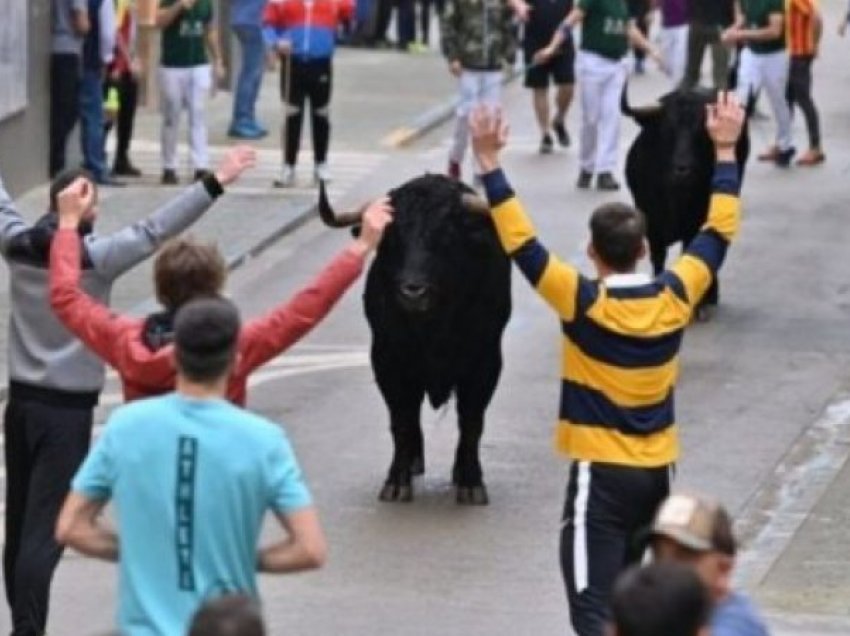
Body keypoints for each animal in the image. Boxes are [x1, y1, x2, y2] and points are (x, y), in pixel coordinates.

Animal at [314, 176, 506, 504]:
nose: (412, 291)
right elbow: (401, 420)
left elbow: (471, 421)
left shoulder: (485, 363)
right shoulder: (388, 362)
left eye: (446, 235)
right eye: (391, 237)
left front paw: (471, 482)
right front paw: (396, 482)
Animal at [616, 87, 748, 318]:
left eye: (702, 131)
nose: (683, 169)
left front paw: (700, 302)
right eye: (668, 129)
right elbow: (658, 256)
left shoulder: (696, 221)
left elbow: (693, 251)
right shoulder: (652, 222)